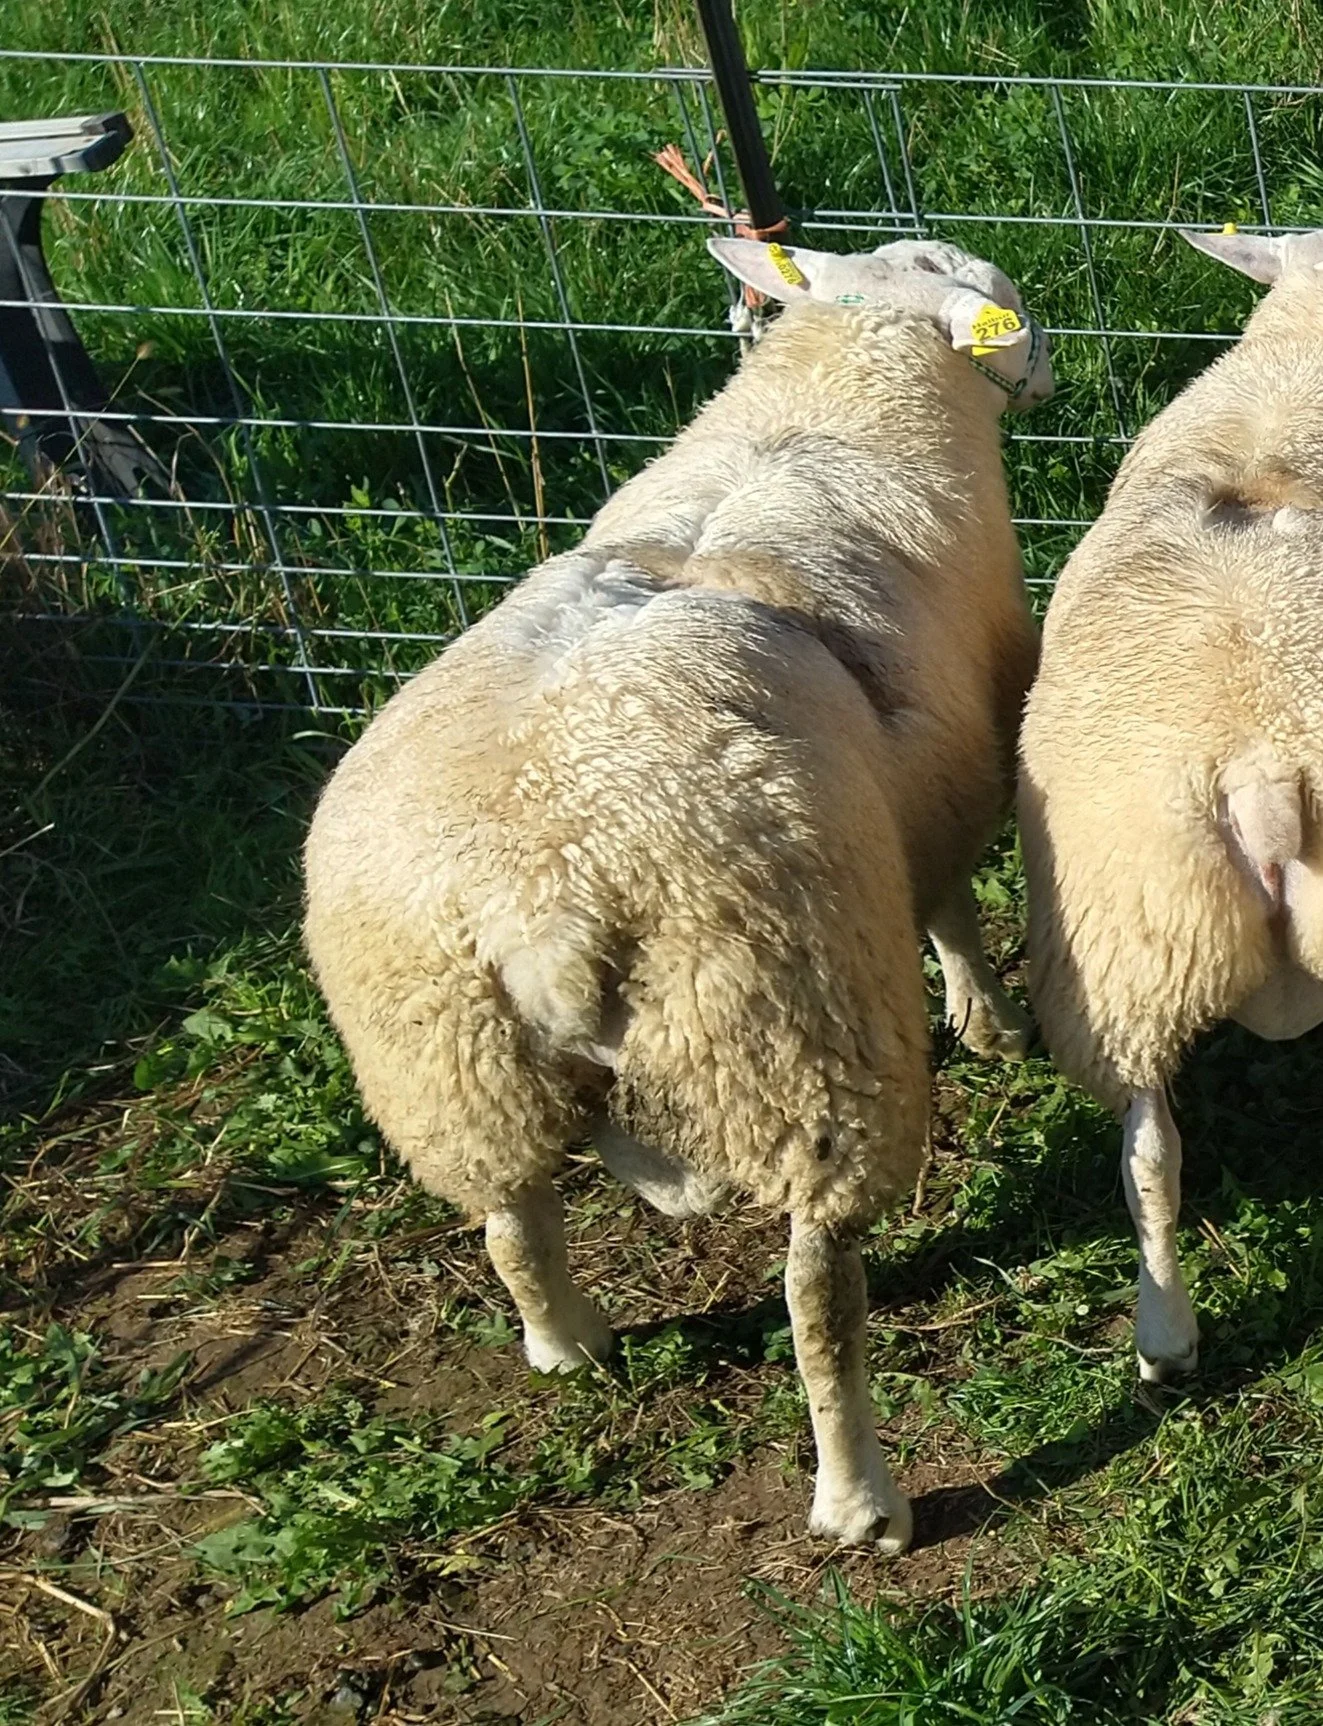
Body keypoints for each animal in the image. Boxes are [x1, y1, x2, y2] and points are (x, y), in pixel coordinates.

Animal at [304, 235, 1052, 1551]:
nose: (1049, 367)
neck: (825, 405)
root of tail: (538, 908)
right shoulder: (957, 769)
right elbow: (954, 908)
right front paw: (990, 1019)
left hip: (447, 1058)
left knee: (512, 1215)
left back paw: (571, 1341)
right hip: (795, 1035)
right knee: (819, 1290)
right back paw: (861, 1499)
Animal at [1019, 225, 1323, 1385]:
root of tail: (1261, 768)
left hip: (1126, 940)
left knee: (1147, 1156)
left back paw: (1163, 1341)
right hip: (1135, 949)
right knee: (1153, 1151)